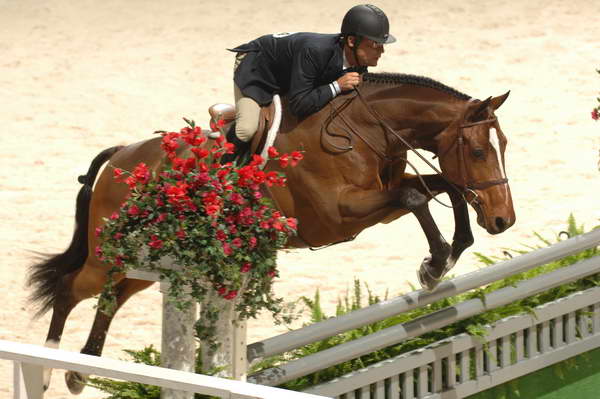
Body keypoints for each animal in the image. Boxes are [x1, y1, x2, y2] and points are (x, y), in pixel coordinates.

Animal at [28, 72, 516, 394]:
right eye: (478, 151)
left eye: (504, 145)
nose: (503, 221)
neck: (364, 128)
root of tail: (120, 157)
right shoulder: (339, 214)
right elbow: (419, 197)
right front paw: (435, 264)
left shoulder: (382, 202)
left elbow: (443, 187)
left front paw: (451, 252)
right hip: (111, 253)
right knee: (71, 289)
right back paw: (49, 369)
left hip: (147, 263)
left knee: (111, 296)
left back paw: (80, 370)